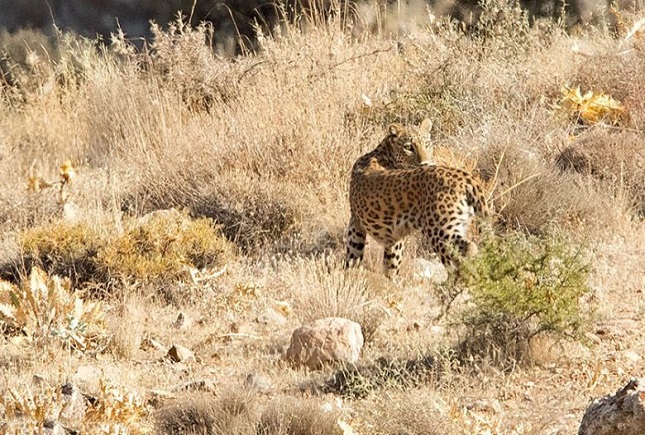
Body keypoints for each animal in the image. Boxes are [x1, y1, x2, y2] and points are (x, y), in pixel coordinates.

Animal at [348, 120, 488, 280]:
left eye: (427, 144)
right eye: (408, 147)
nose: (425, 163)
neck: (383, 152)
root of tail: (465, 177)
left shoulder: (368, 228)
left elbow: (387, 263)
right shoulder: (366, 226)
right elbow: (356, 256)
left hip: (439, 229)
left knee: (463, 250)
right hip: (454, 225)